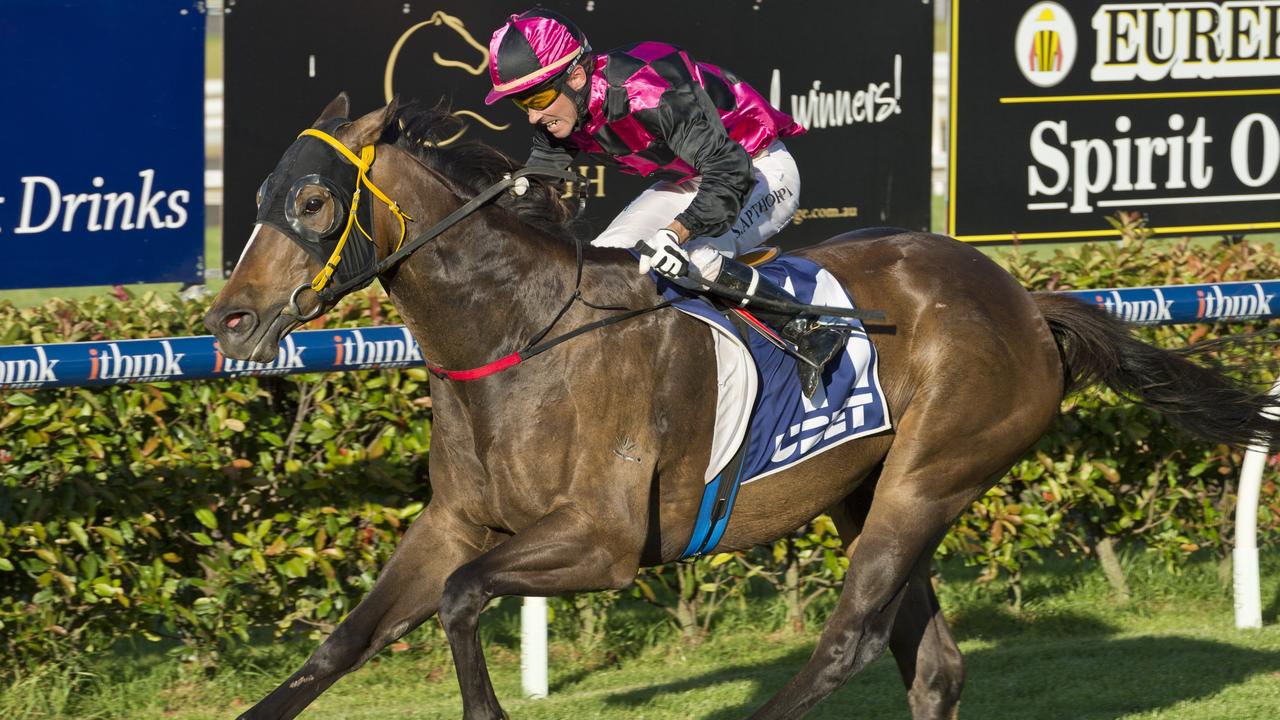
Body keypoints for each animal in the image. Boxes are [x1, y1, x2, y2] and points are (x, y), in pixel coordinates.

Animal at [202, 92, 1280, 712]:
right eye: (253, 198)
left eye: (311, 202)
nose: (229, 318)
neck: (515, 335)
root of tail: (1025, 297)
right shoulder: (456, 522)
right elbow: (342, 643)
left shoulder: (600, 542)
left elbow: (466, 601)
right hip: (871, 489)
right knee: (931, 662)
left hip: (931, 476)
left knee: (850, 641)